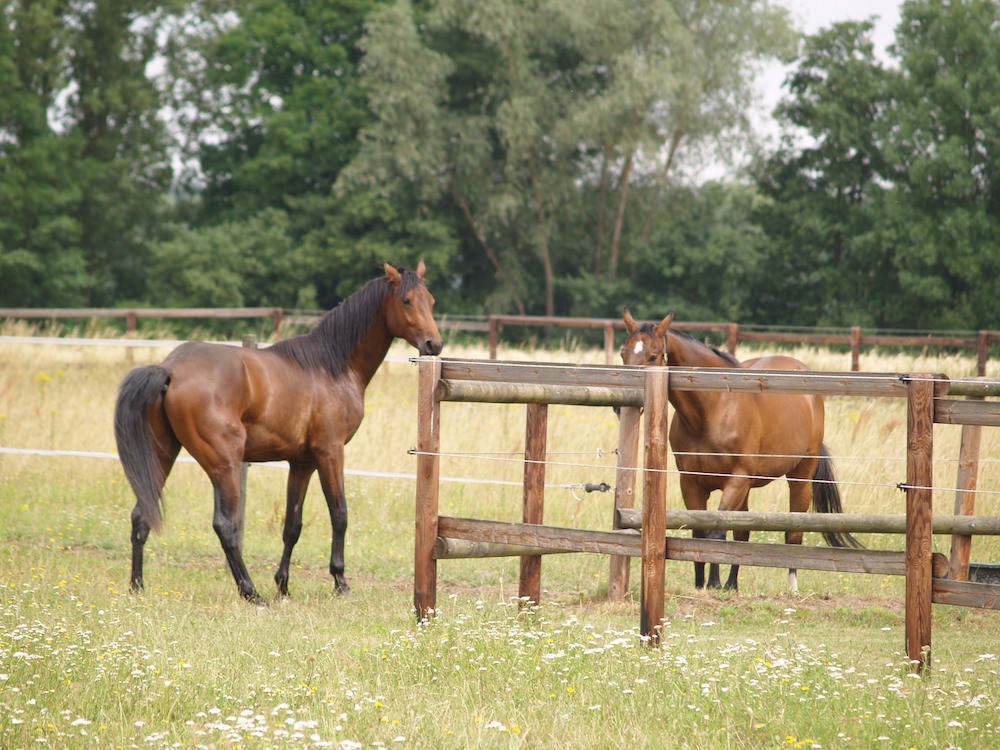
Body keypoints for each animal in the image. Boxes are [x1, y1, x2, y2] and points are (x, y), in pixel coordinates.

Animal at [115, 262, 444, 604]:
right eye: (406, 300)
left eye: (431, 301)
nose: (434, 344)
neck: (330, 366)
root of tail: (171, 369)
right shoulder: (330, 452)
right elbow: (339, 514)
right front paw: (340, 581)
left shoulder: (301, 463)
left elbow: (292, 525)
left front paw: (283, 584)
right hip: (224, 464)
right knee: (225, 525)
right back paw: (250, 592)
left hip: (162, 454)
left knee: (141, 514)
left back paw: (137, 586)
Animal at [616, 312, 860, 592]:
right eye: (623, 353)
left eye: (653, 356)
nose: (622, 403)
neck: (714, 408)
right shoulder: (691, 483)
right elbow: (700, 534)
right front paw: (701, 585)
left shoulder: (736, 480)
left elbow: (716, 533)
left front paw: (712, 584)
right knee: (742, 533)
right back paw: (732, 585)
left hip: (799, 477)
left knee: (794, 532)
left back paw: (792, 587)